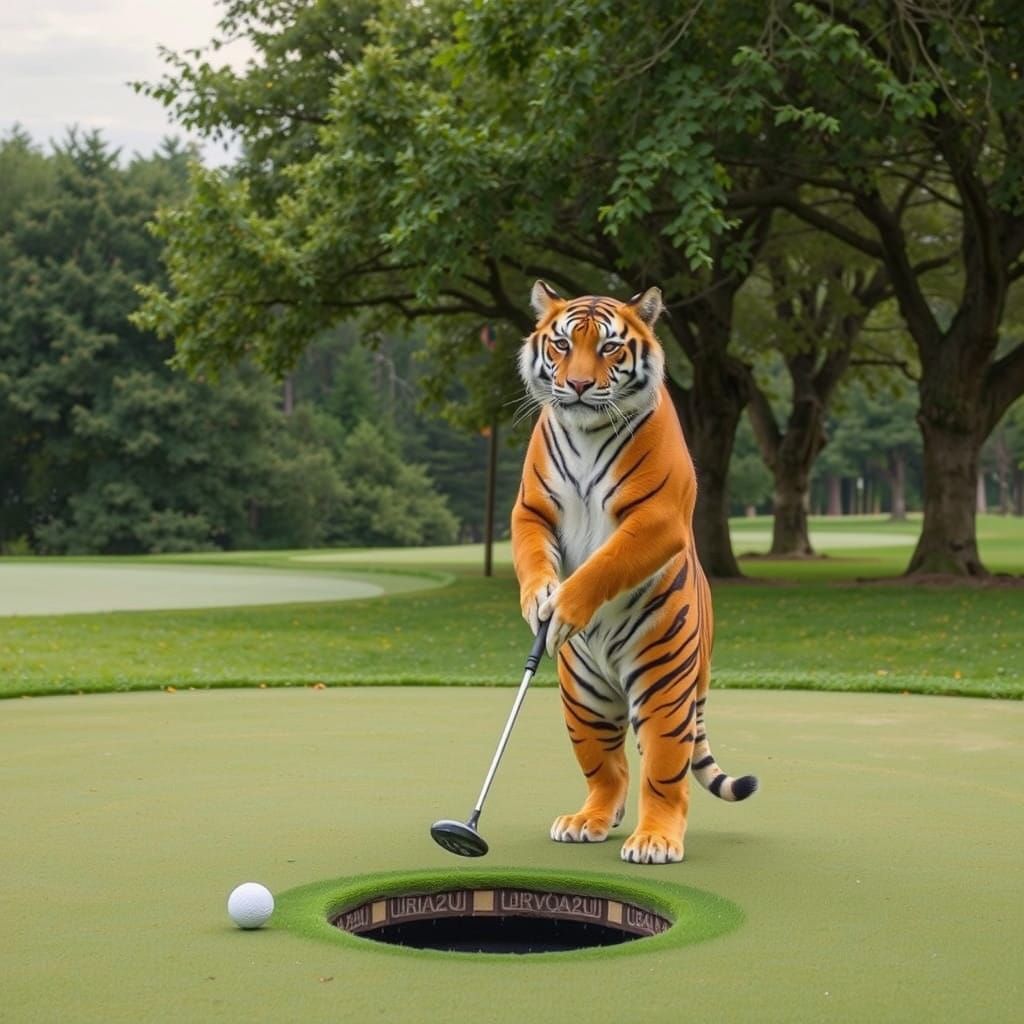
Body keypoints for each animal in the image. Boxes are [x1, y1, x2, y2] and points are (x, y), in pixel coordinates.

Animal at [511, 280, 758, 865]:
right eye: (560, 344)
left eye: (608, 348)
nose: (578, 385)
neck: (585, 431)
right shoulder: (531, 509)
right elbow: (532, 554)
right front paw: (539, 601)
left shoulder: (656, 518)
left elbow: (603, 565)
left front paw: (565, 607)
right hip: (583, 700)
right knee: (608, 770)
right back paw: (589, 820)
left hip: (663, 685)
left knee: (665, 776)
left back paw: (655, 839)